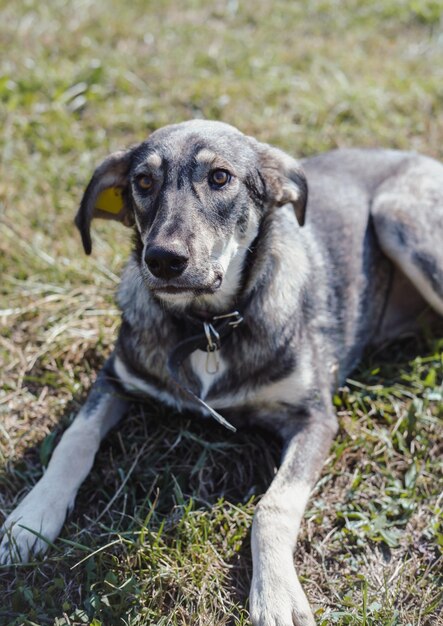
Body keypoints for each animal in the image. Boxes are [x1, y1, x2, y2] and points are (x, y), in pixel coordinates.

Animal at [0, 118, 443, 624]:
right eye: (143, 182)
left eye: (219, 177)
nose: (162, 260)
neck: (206, 325)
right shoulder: (116, 376)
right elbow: (73, 441)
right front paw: (30, 519)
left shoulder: (315, 417)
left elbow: (272, 506)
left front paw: (276, 593)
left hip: (398, 215)